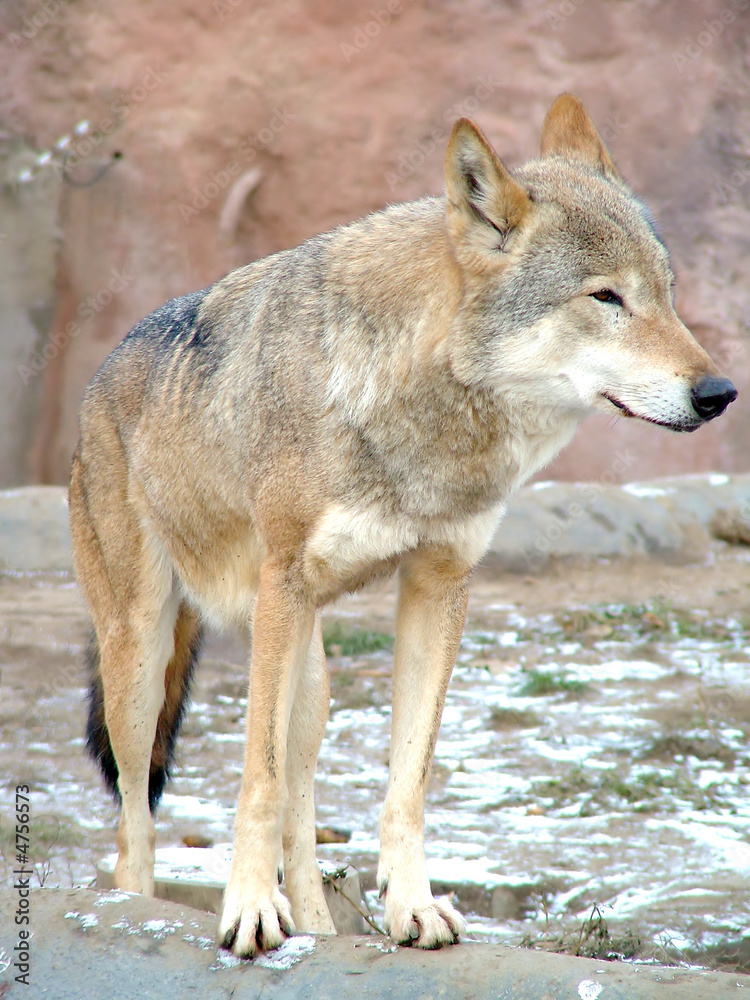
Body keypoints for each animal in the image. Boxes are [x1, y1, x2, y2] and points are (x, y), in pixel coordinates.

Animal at [70, 94, 736, 958]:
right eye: (605, 298)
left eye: (666, 292)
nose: (719, 393)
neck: (420, 414)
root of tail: (99, 379)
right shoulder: (285, 582)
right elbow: (255, 780)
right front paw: (248, 911)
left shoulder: (441, 584)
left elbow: (407, 781)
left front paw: (412, 908)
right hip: (147, 659)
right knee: (135, 823)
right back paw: (136, 911)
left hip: (309, 682)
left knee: (301, 815)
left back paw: (321, 929)